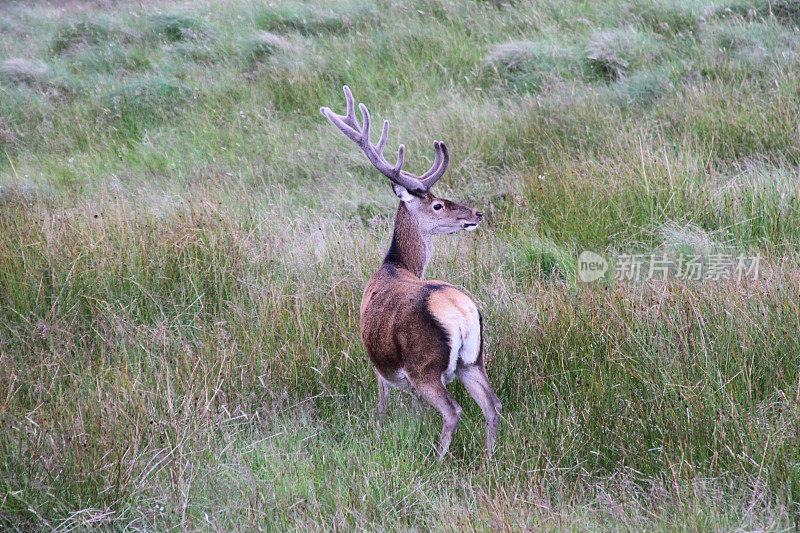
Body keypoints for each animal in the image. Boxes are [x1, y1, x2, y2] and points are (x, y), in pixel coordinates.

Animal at [320, 85, 500, 460]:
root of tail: (461, 311)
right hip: (473, 360)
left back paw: (439, 460)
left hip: (425, 365)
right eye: (438, 204)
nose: (476, 213)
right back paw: (491, 459)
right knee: (492, 406)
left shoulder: (379, 364)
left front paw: (379, 429)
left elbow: (383, 404)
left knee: (454, 411)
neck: (394, 265)